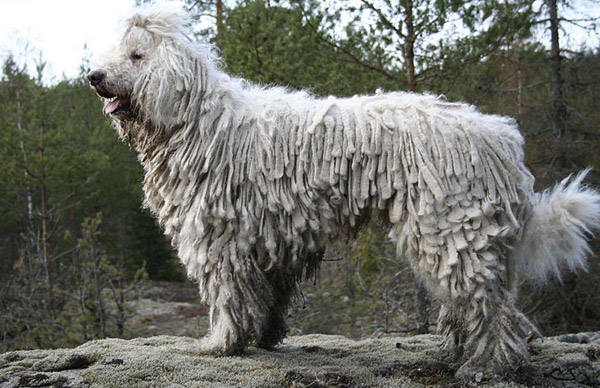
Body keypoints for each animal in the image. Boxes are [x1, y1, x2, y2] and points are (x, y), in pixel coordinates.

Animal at [88, 3, 600, 378]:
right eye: (118, 53)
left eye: (136, 57)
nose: (94, 76)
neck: (196, 122)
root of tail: (503, 140)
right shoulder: (272, 238)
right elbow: (267, 295)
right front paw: (263, 337)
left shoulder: (220, 235)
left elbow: (228, 294)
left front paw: (220, 343)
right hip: (461, 232)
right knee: (476, 299)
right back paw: (458, 353)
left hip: (452, 223)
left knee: (489, 305)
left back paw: (488, 366)